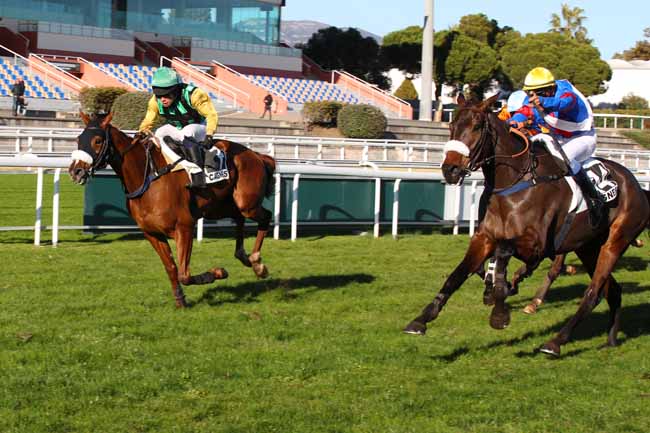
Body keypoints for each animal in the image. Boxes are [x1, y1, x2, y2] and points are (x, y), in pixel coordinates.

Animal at [69, 112, 276, 308]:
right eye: (79, 139)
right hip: (222, 206)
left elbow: (184, 273)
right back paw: (246, 258)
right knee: (239, 219)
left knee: (265, 216)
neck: (147, 177)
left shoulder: (184, 227)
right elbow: (171, 268)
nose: (75, 171)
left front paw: (218, 272)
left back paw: (257, 262)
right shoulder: (152, 233)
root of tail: (257, 155)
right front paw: (180, 300)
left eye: (97, 141)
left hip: (246, 203)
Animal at [402, 93, 644, 354]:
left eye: (477, 126)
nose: (451, 169)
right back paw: (611, 339)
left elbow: (503, 252)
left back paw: (555, 341)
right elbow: (457, 274)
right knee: (612, 291)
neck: (511, 184)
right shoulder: (484, 238)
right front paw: (421, 320)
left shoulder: (536, 246)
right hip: (588, 247)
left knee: (593, 292)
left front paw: (499, 308)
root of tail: (638, 187)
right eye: (452, 125)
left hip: (615, 242)